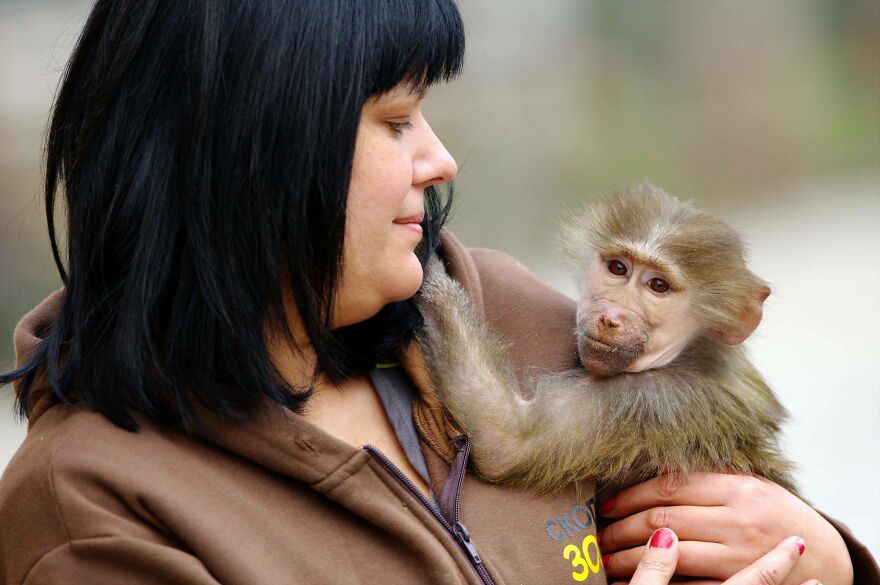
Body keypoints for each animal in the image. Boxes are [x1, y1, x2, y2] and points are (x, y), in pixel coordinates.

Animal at [413, 184, 797, 495]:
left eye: (658, 286)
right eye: (618, 268)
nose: (610, 317)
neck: (695, 355)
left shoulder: (654, 401)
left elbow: (505, 438)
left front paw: (427, 266)